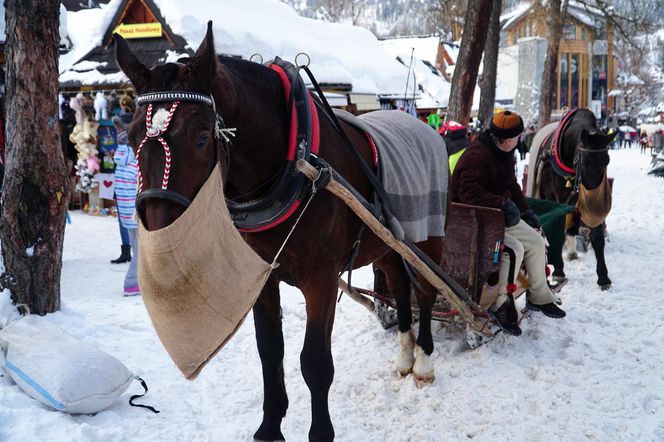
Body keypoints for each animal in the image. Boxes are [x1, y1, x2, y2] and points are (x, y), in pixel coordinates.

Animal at [115, 22, 446, 440]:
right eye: (129, 138)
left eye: (202, 137)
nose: (160, 237)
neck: (294, 160)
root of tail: (425, 127)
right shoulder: (263, 276)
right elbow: (269, 349)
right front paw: (270, 425)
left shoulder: (321, 279)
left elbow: (315, 362)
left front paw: (320, 432)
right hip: (386, 242)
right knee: (400, 287)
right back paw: (404, 356)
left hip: (427, 239)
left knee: (427, 291)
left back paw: (424, 362)